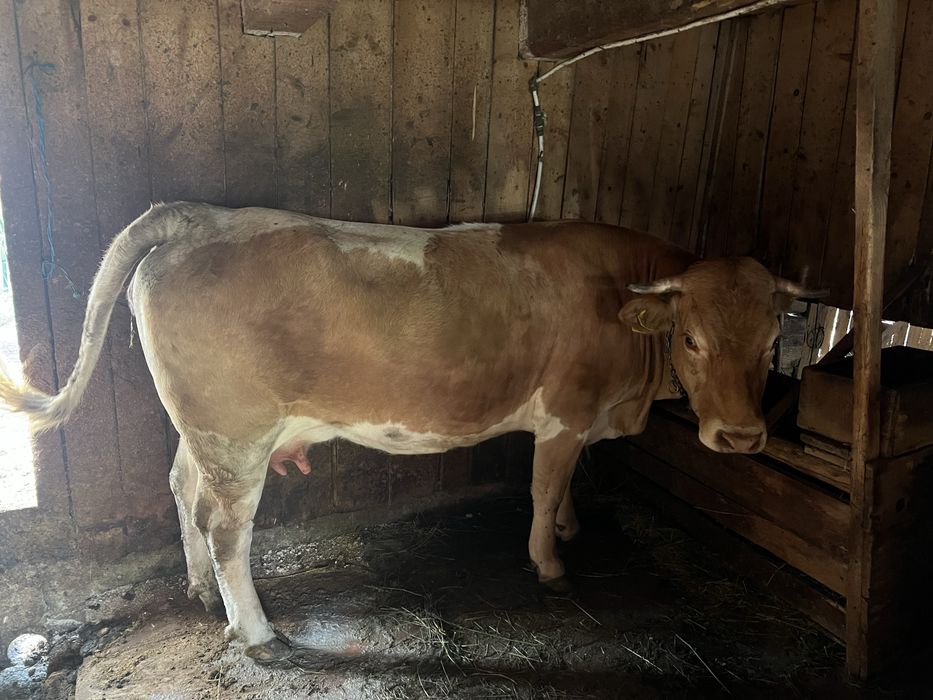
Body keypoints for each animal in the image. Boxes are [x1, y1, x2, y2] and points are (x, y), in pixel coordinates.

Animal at [0, 202, 824, 662]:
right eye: (692, 339)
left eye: (770, 343)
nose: (741, 439)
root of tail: (199, 213)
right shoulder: (563, 412)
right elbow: (542, 486)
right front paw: (550, 561)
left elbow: (566, 487)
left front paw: (570, 526)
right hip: (237, 436)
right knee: (225, 528)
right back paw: (256, 631)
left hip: (203, 429)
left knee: (180, 488)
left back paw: (204, 594)